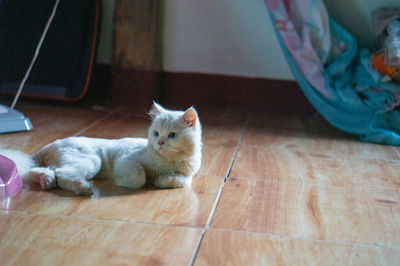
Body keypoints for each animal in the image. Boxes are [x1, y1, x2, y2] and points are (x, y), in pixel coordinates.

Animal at [0, 103, 203, 196]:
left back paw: (46, 181)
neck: (168, 161)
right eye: (155, 133)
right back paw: (84, 189)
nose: (159, 143)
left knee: (51, 173)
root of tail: (50, 145)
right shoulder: (127, 161)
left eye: (172, 135)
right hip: (91, 161)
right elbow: (139, 178)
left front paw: (159, 179)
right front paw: (138, 181)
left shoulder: (186, 176)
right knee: (62, 174)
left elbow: (174, 181)